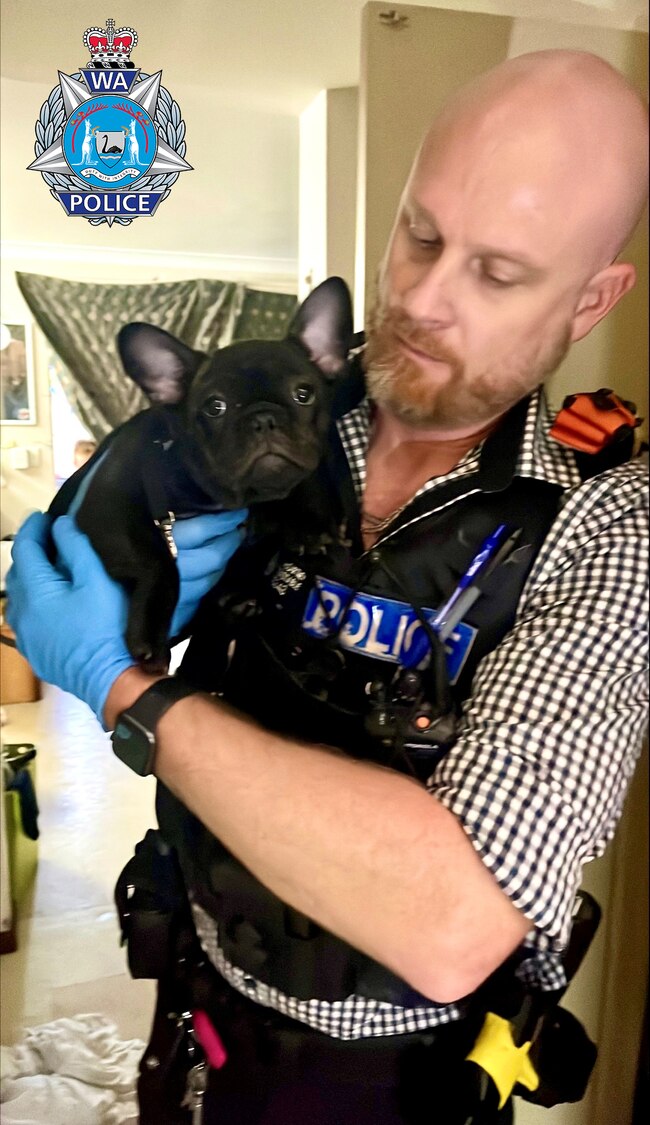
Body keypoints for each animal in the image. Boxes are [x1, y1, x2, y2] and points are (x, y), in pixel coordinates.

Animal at [49, 276, 355, 670]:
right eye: (215, 407)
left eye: (304, 394)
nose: (263, 418)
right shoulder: (110, 507)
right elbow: (156, 561)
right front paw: (149, 634)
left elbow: (298, 486)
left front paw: (309, 525)